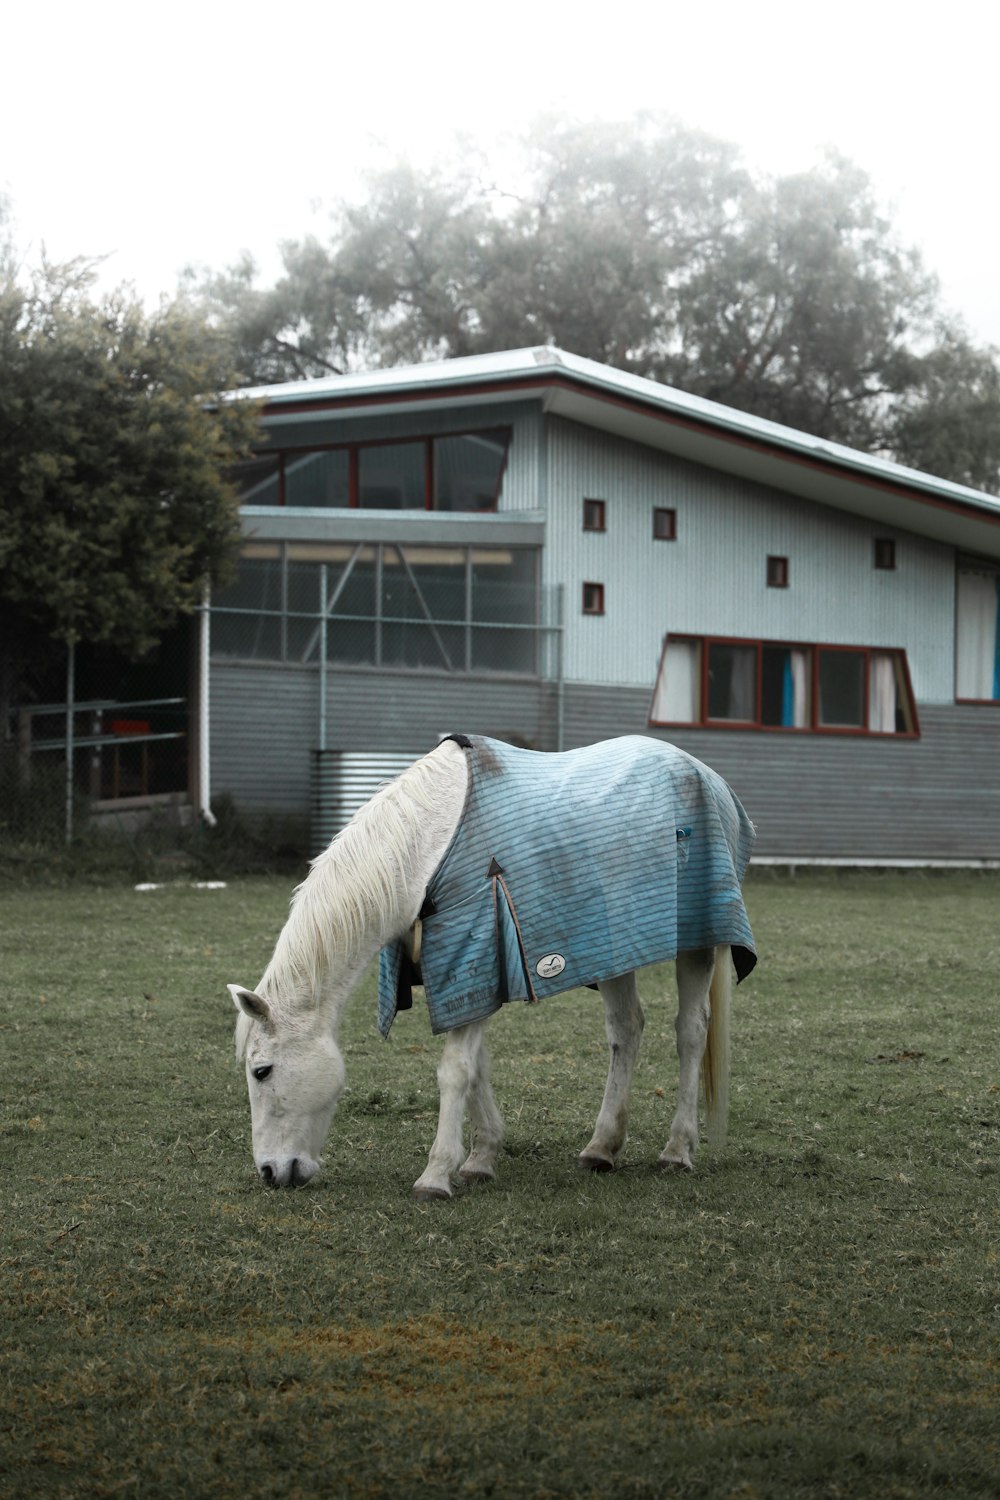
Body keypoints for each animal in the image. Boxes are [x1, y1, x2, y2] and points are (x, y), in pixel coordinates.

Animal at [229, 732, 758, 1200]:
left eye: (262, 1071)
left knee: (691, 1031)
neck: (425, 850)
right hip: (615, 948)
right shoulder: (467, 977)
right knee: (627, 1028)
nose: (271, 1173)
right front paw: (481, 1159)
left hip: (699, 943)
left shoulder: (473, 954)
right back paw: (601, 1148)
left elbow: (455, 1071)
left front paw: (435, 1175)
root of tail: (708, 776)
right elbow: (476, 1068)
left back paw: (677, 1150)